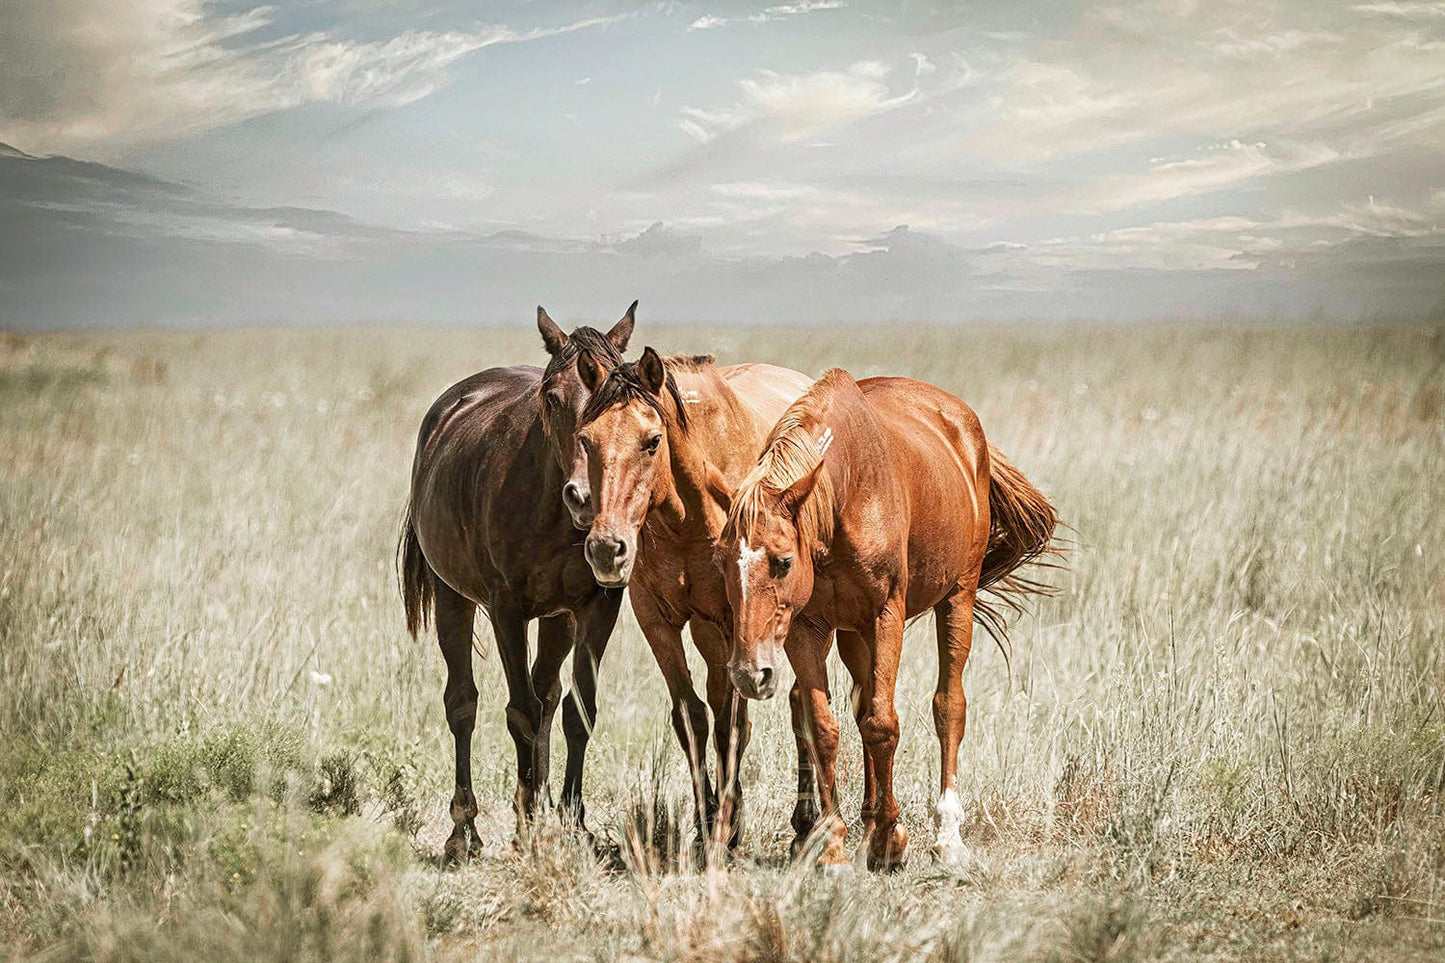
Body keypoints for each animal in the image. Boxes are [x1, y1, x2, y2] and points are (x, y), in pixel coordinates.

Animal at [397, 303, 636, 863]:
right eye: (552, 397)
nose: (585, 497)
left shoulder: (599, 606)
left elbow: (577, 710)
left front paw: (571, 822)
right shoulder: (507, 609)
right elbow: (519, 711)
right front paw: (526, 824)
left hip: (558, 619)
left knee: (548, 693)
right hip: (453, 598)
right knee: (463, 702)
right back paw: (464, 830)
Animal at [570, 345, 814, 856]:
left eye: (651, 440)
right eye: (586, 439)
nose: (605, 548)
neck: (684, 517)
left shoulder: (725, 623)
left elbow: (729, 722)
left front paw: (725, 824)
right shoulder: (657, 621)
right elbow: (692, 716)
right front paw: (708, 821)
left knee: (798, 700)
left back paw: (805, 823)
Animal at [718, 368, 1060, 870]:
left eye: (782, 562)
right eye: (721, 561)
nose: (748, 674)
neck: (846, 494)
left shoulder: (886, 617)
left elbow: (883, 724)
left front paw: (886, 839)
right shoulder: (808, 628)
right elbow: (825, 727)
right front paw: (835, 846)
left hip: (956, 597)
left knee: (948, 706)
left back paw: (946, 837)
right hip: (852, 635)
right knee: (861, 709)